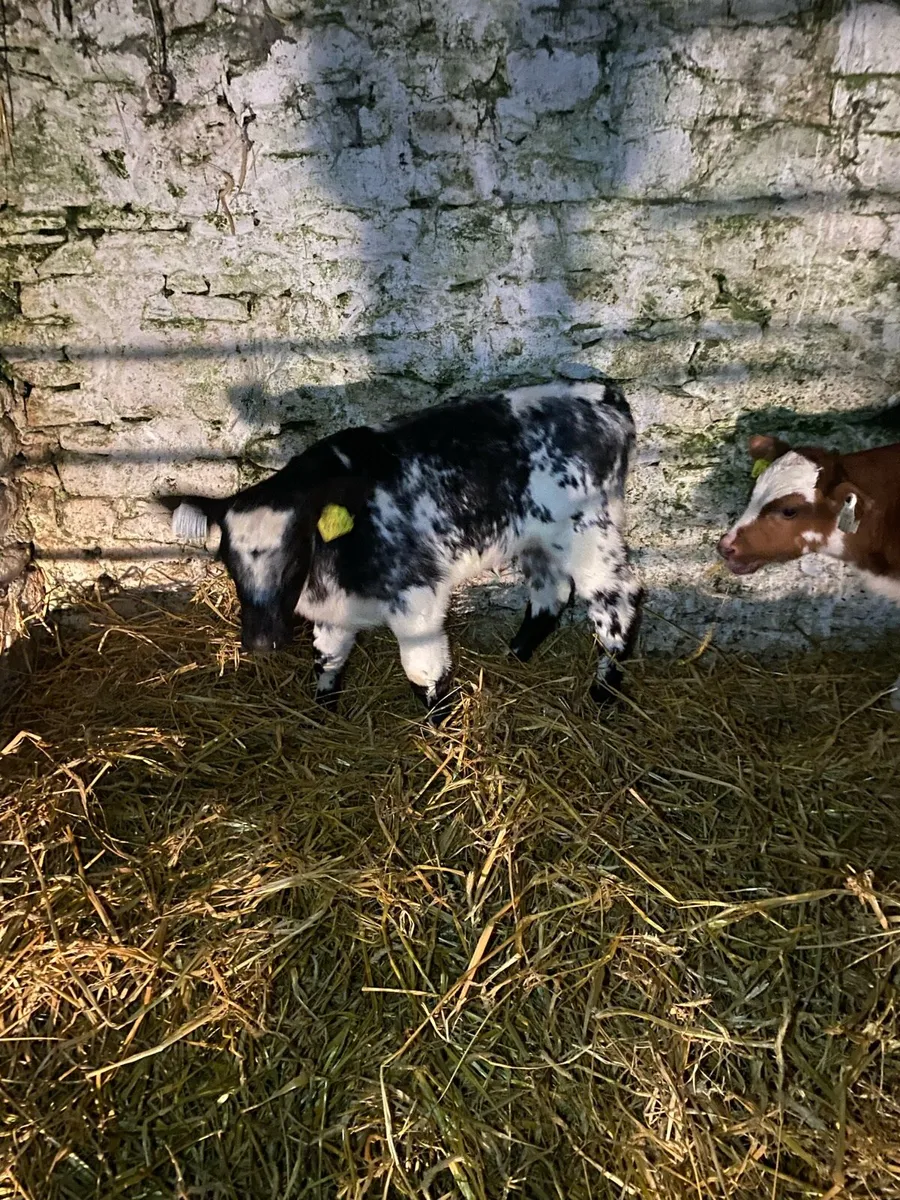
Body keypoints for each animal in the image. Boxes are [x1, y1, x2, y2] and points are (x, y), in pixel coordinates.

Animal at [159, 380, 642, 723]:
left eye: (295, 550)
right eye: (228, 560)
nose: (262, 641)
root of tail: (604, 395)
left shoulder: (417, 598)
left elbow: (422, 671)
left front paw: (438, 728)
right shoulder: (334, 610)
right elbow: (327, 657)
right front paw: (323, 712)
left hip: (591, 531)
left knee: (619, 601)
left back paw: (603, 692)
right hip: (536, 538)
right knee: (550, 592)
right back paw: (516, 655)